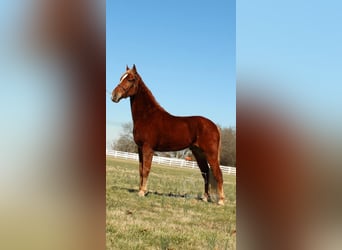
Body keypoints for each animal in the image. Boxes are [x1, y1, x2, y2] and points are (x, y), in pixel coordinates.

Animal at [111, 65, 224, 205]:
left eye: (130, 79)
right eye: (121, 78)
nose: (114, 95)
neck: (147, 116)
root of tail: (214, 126)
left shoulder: (148, 148)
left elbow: (146, 169)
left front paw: (142, 192)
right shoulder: (140, 148)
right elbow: (140, 170)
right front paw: (140, 190)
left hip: (210, 154)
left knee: (218, 174)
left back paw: (221, 201)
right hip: (199, 153)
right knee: (206, 173)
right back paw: (205, 197)